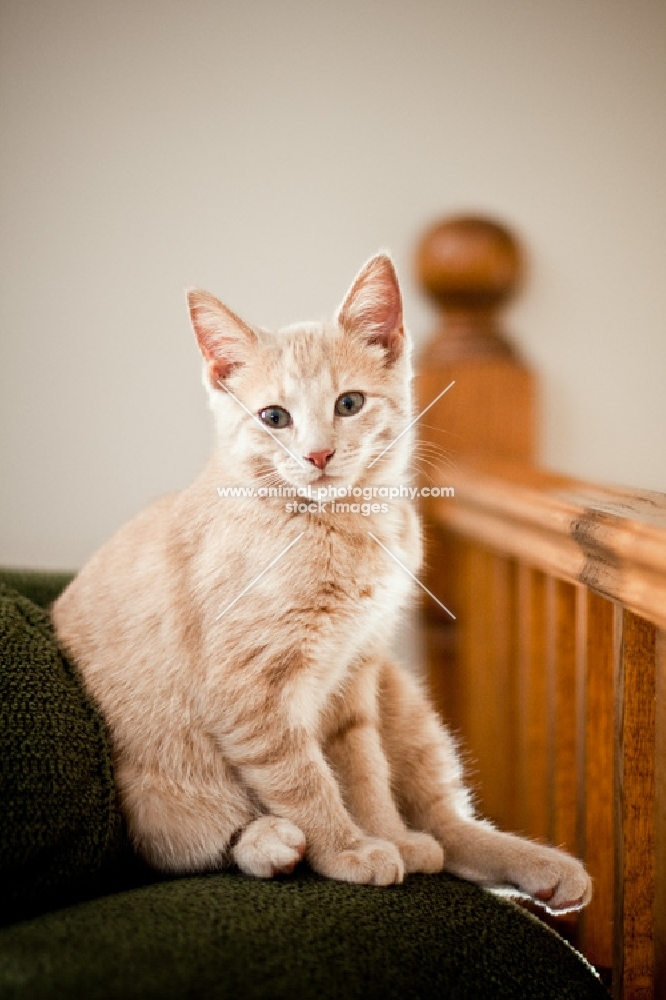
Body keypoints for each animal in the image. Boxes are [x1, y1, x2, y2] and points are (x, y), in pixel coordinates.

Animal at [53, 256, 592, 916]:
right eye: (273, 417)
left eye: (350, 402)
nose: (318, 455)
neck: (341, 526)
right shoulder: (250, 692)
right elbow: (303, 778)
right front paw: (347, 849)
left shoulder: (357, 673)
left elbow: (363, 770)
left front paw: (386, 835)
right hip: (159, 796)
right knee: (202, 837)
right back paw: (270, 843)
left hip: (402, 696)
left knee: (448, 822)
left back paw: (535, 866)